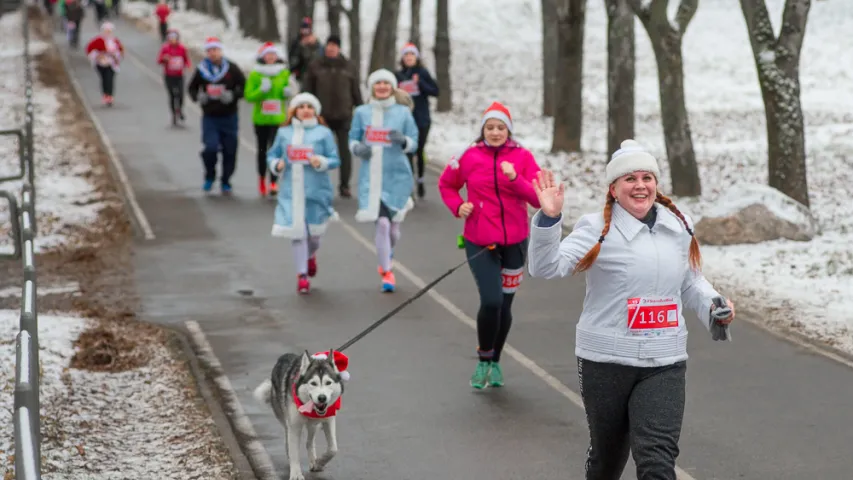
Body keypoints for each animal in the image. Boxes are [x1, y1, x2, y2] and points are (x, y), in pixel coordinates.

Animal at [253, 348, 346, 480]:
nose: (322, 398)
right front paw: (296, 473)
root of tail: (283, 357)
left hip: (313, 425)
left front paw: (319, 462)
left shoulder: (329, 420)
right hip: (286, 420)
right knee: (288, 442)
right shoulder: (294, 426)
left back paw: (313, 461)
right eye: (313, 383)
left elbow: (333, 449)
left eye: (328, 382)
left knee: (309, 442)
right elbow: (294, 452)